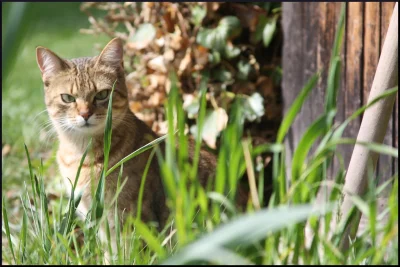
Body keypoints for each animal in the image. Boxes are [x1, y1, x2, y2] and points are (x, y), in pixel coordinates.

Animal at [35, 38, 216, 262]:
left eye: (102, 94)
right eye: (68, 98)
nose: (85, 114)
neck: (81, 155)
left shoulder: (128, 218)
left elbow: (127, 254)